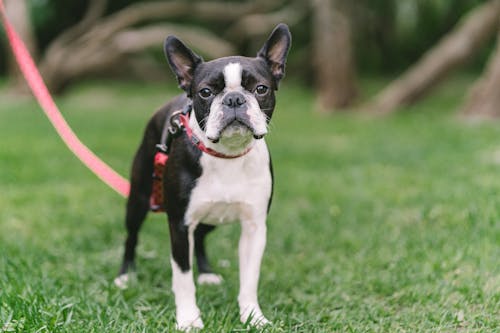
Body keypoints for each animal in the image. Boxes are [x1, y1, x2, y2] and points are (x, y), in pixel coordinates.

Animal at [114, 24, 292, 330]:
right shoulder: (180, 224)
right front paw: (188, 319)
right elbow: (183, 278)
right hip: (139, 198)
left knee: (201, 238)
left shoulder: (254, 227)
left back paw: (207, 274)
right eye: (206, 92)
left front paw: (253, 316)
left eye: (261, 89)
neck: (227, 156)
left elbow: (249, 279)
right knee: (132, 236)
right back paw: (126, 276)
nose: (234, 99)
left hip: (211, 217)